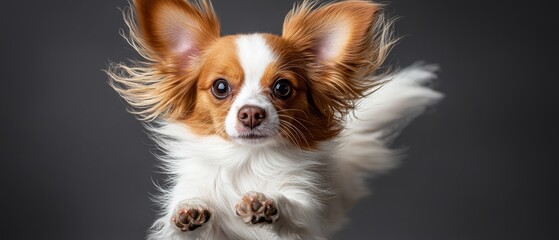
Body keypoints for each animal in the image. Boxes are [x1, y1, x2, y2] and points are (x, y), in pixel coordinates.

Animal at [107, 0, 444, 240]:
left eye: (283, 88)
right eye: (220, 87)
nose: (251, 113)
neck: (246, 162)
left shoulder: (305, 214)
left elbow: (293, 209)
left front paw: (266, 204)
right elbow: (188, 219)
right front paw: (188, 210)